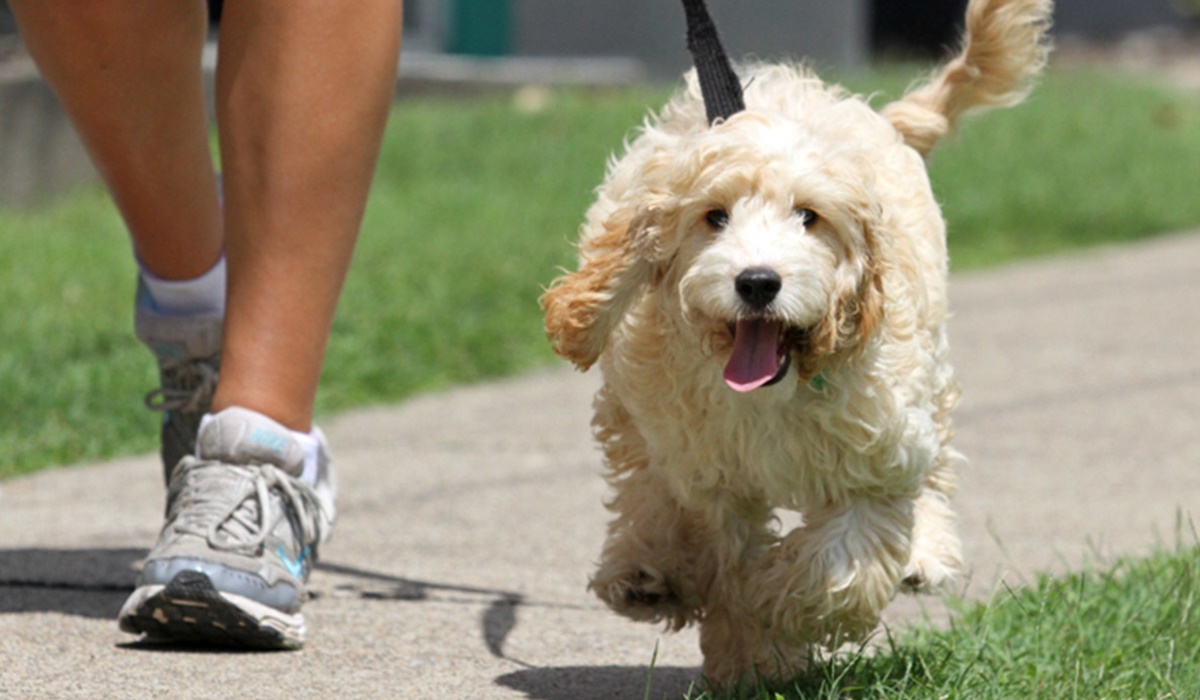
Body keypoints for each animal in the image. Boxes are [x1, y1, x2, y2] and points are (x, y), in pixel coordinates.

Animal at [544, 0, 1051, 686]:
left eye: (809, 217)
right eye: (715, 217)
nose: (758, 281)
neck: (772, 393)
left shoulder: (876, 460)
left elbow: (838, 567)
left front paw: (770, 610)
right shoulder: (708, 477)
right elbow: (720, 548)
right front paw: (747, 650)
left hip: (930, 363)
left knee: (938, 462)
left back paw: (926, 552)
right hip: (639, 412)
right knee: (642, 480)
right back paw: (643, 573)